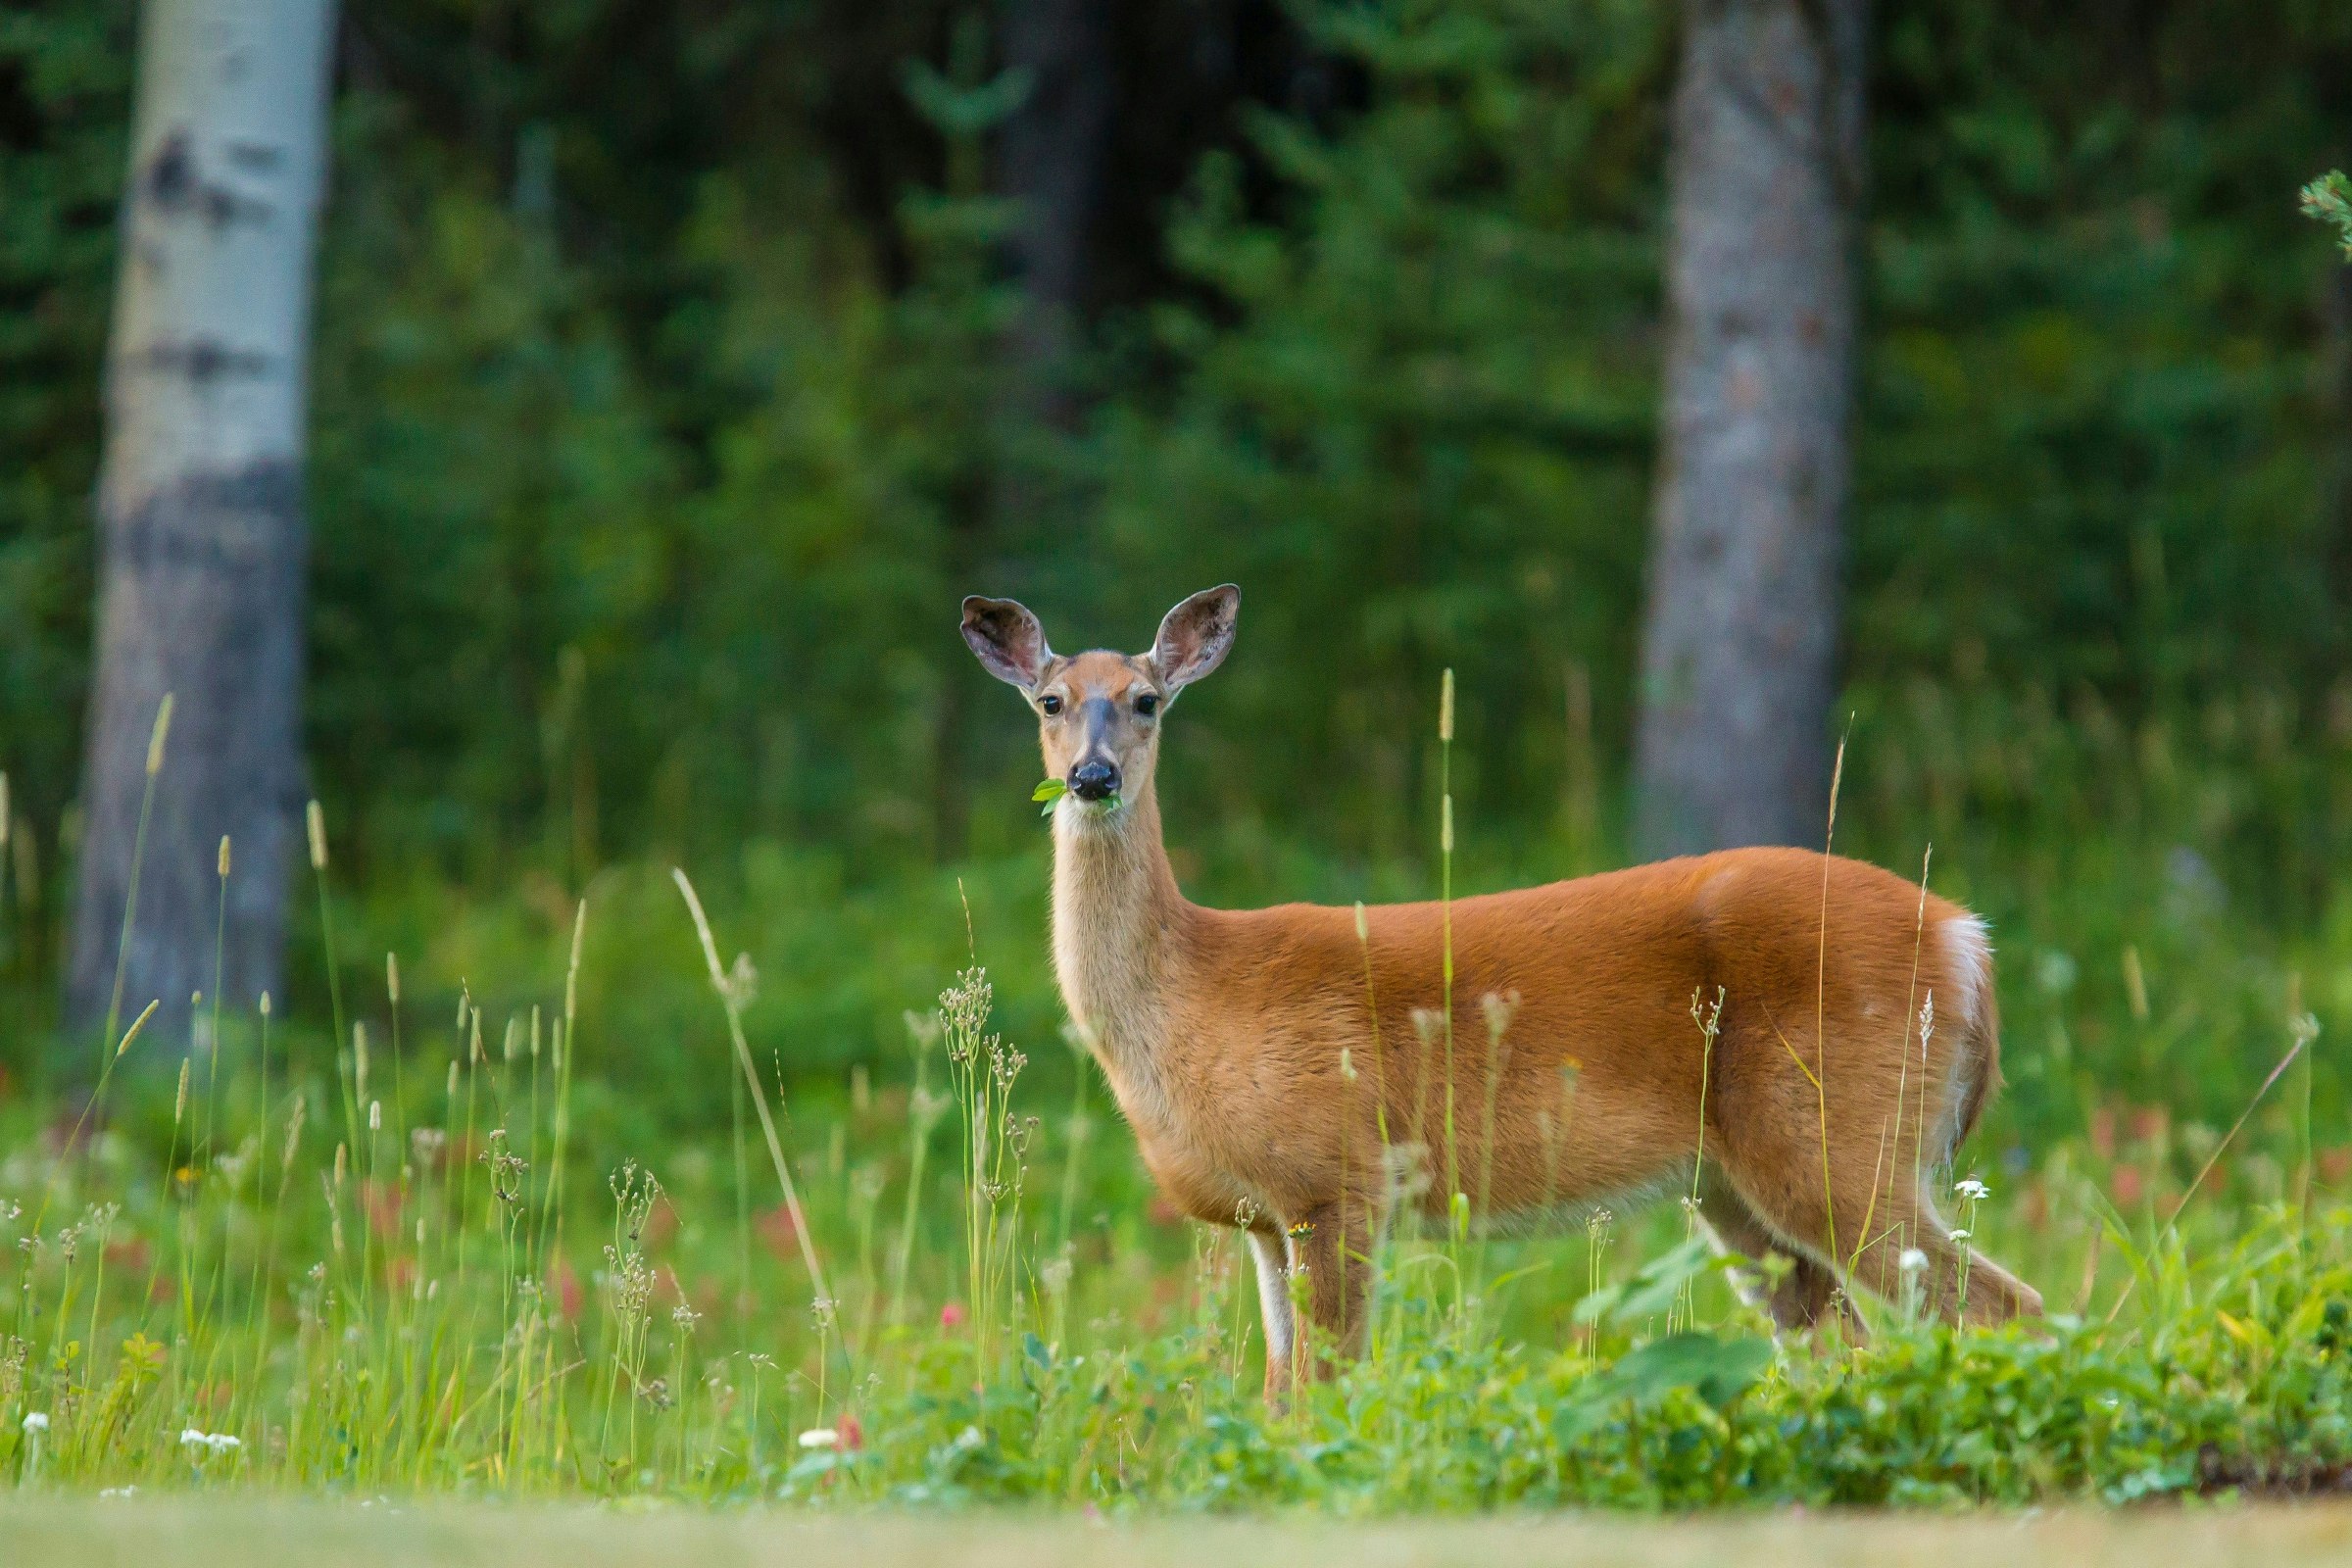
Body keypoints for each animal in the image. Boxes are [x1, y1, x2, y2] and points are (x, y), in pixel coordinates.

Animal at [955, 580, 2041, 1400]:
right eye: (1051, 702)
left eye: (1146, 700)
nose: (1093, 777)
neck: (1192, 994)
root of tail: (1967, 938)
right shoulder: (1264, 1216)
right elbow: (1275, 1394)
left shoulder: (1341, 1177)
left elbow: (1324, 1390)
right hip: (1736, 1184)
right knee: (1840, 1338)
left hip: (1839, 1131)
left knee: (2000, 1306)